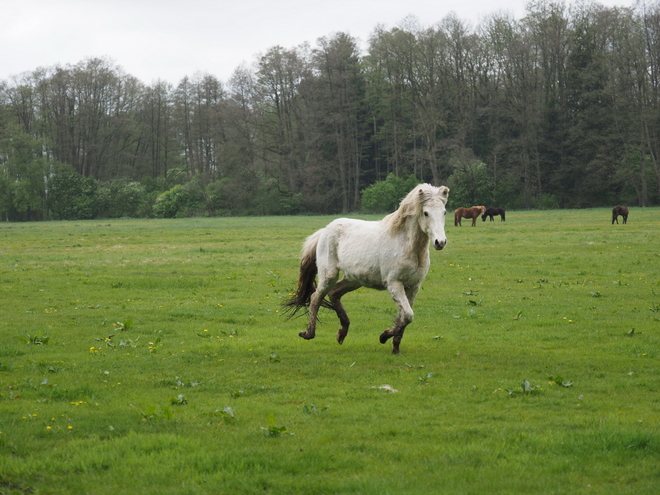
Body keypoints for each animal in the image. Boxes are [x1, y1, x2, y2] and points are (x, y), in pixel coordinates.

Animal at [284, 184, 448, 354]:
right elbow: (408, 315)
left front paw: (395, 346)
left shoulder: (413, 286)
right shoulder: (394, 284)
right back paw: (309, 333)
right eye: (426, 213)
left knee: (334, 293)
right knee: (315, 297)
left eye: (444, 212)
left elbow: (404, 316)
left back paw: (342, 332)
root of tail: (325, 230)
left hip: (354, 280)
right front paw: (384, 336)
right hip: (329, 275)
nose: (440, 242)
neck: (406, 245)